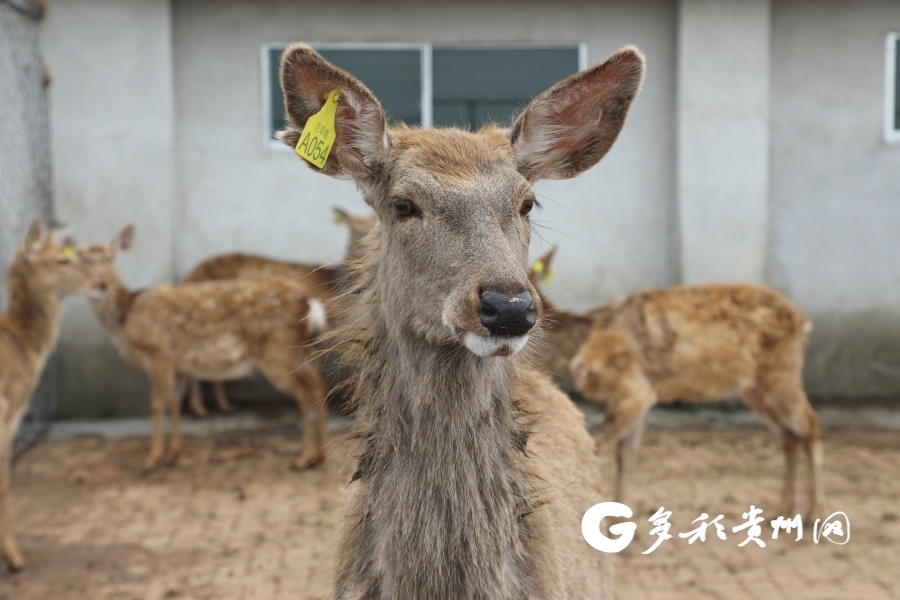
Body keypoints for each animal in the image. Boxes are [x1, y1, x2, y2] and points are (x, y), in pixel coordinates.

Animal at [80, 227, 330, 472]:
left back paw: (305, 459)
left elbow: (157, 404)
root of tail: (310, 302)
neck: (125, 318)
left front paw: (152, 460)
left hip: (278, 352)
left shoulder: (159, 353)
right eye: (83, 261)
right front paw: (174, 454)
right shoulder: (179, 365)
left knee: (305, 393)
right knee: (318, 387)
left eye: (111, 258)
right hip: (303, 352)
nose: (100, 283)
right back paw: (319, 456)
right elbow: (174, 402)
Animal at [179, 206, 376, 418]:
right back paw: (199, 408)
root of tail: (190, 277)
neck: (336, 290)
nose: (363, 256)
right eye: (354, 234)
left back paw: (221, 405)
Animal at [532, 246, 828, 524]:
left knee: (809, 423)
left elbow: (595, 445)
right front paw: (619, 519)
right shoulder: (637, 398)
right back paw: (783, 511)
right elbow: (623, 455)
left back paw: (812, 513)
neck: (579, 348)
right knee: (789, 434)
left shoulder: (635, 390)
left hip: (781, 372)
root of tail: (805, 322)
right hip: (753, 387)